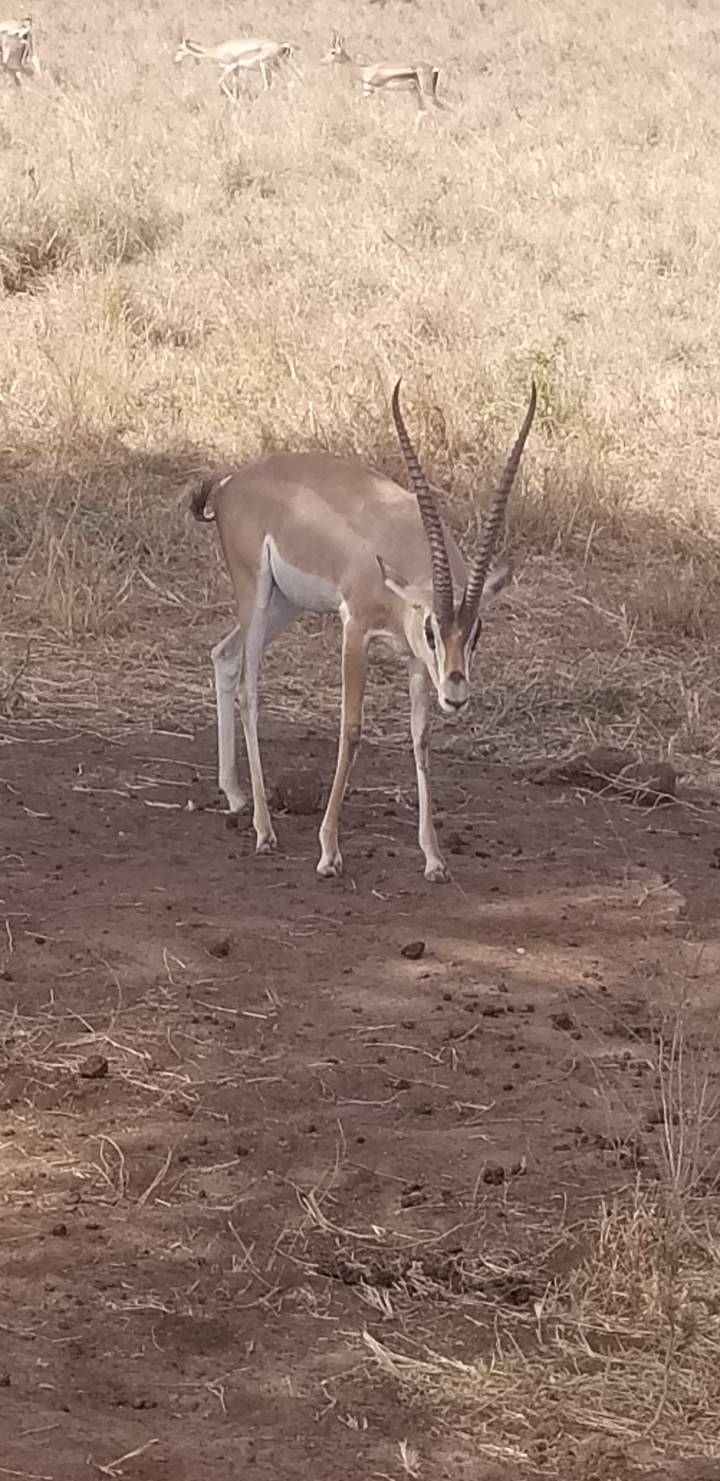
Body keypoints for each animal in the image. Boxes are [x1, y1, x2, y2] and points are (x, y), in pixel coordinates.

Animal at [191, 381, 536, 884]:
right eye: (432, 628)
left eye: (476, 632)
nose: (455, 693)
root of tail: (230, 484)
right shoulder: (355, 630)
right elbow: (351, 730)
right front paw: (329, 853)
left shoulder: (417, 664)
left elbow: (421, 738)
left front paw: (434, 859)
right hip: (255, 594)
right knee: (250, 691)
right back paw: (264, 830)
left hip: (285, 605)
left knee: (224, 655)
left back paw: (235, 796)